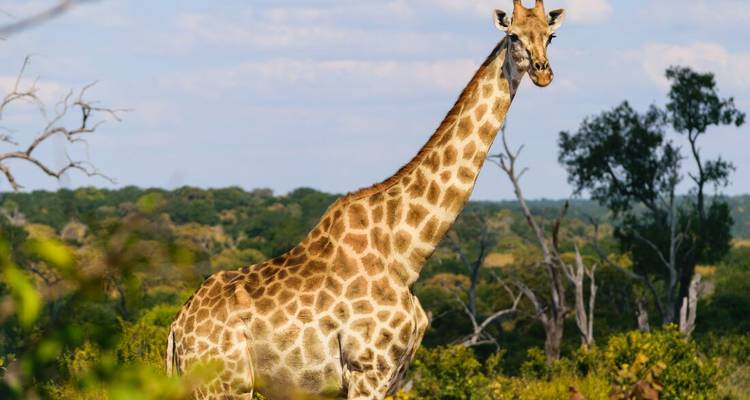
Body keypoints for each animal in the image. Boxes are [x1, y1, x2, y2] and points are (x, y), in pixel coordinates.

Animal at [166, 1, 566, 398]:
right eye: (513, 35)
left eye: (551, 35)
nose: (543, 73)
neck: (407, 254)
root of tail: (176, 329)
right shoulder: (368, 370)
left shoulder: (393, 375)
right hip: (225, 385)